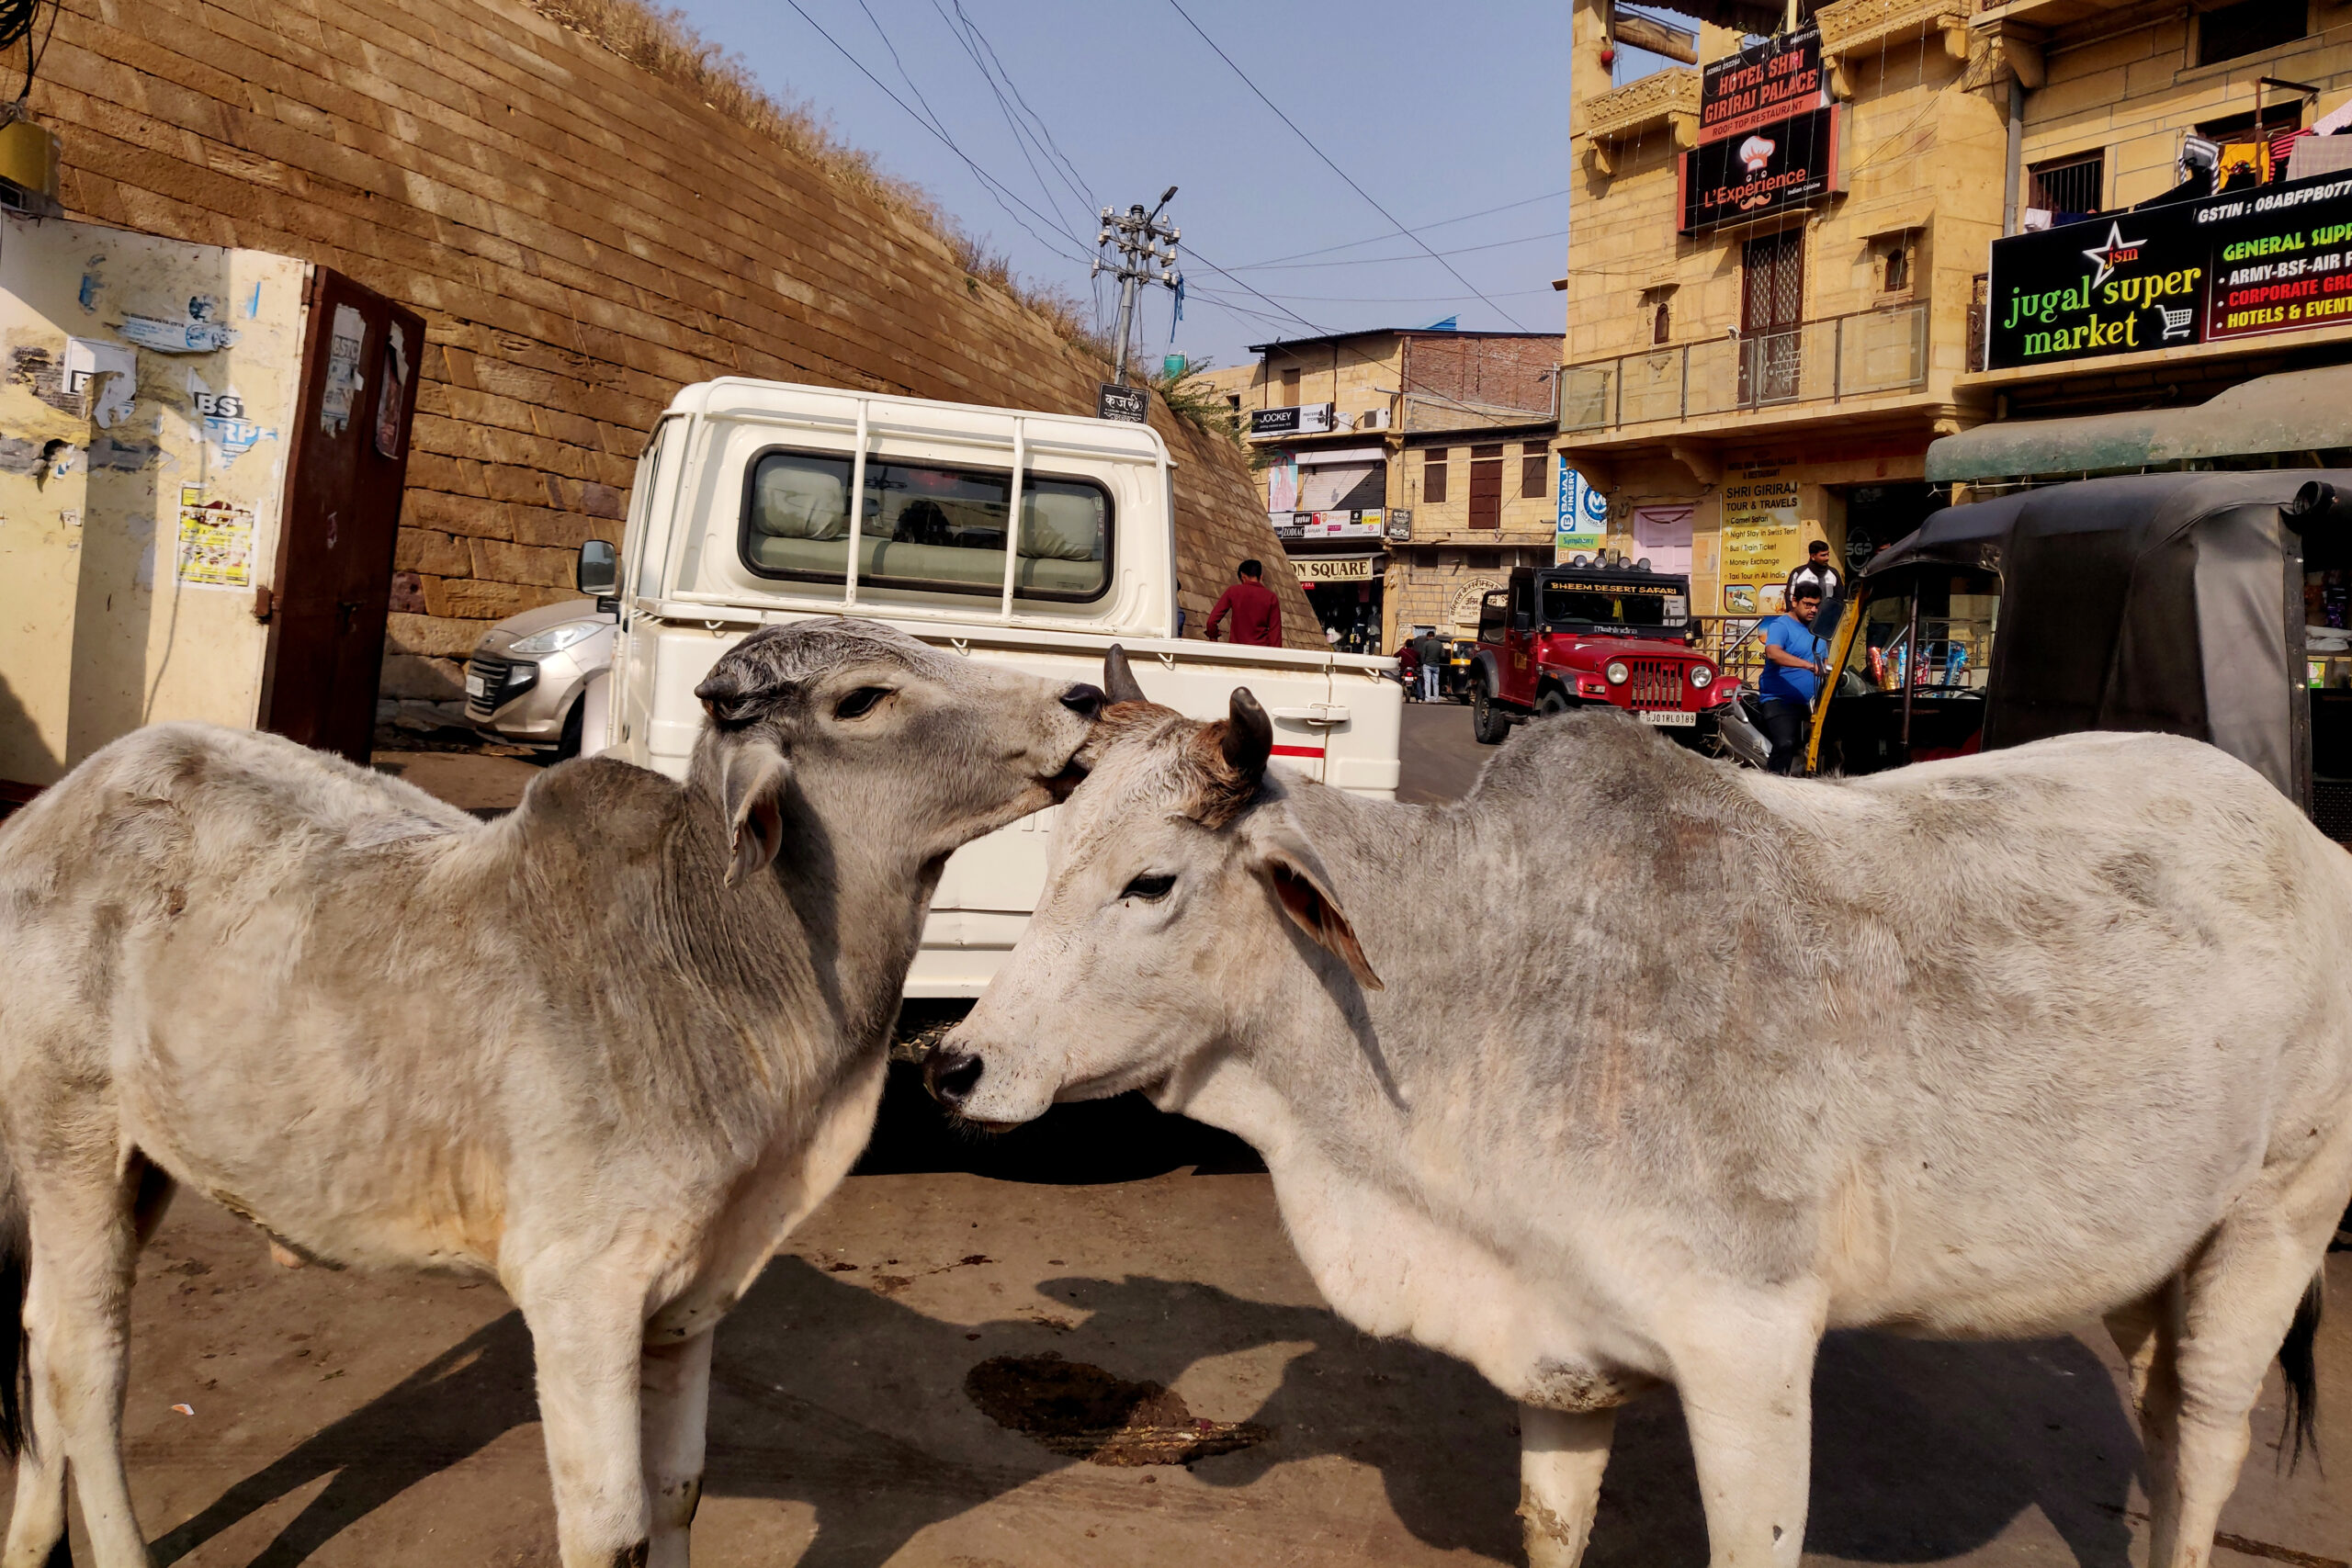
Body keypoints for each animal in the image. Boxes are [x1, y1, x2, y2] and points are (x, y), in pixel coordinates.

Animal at [0, 620, 1101, 1568]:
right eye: (864, 698)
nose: (1085, 696)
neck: (714, 957)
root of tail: (46, 812)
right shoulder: (581, 1295)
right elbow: (610, 1532)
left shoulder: (691, 1299)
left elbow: (679, 1492)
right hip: (70, 1139)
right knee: (82, 1365)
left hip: (143, 1163)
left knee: (36, 1342)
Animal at [931, 658, 2352, 1568]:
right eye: (1053, 863)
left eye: (1151, 882)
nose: (955, 1064)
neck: (1492, 977)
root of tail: (2311, 837)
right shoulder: (1559, 1348)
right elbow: (1554, 1527)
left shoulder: (1751, 1350)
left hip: (2275, 1225)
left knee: (2204, 1445)